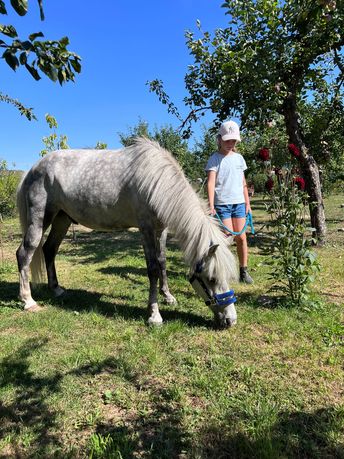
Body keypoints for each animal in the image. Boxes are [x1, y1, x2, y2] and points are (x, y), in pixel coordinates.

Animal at [14, 138, 238, 328]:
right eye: (211, 279)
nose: (231, 320)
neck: (157, 181)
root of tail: (32, 168)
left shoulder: (161, 230)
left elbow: (162, 262)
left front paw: (168, 297)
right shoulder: (146, 229)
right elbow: (153, 269)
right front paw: (154, 315)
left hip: (62, 220)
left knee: (49, 249)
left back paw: (56, 289)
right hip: (40, 219)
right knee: (25, 253)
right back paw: (28, 300)